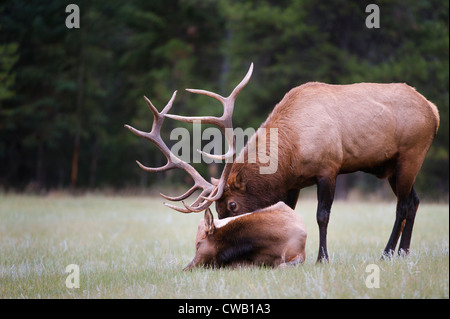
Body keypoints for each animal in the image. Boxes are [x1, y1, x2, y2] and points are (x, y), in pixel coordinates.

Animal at [125, 62, 440, 262]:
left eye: (233, 205)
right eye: (218, 207)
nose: (219, 237)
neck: (291, 149)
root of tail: (434, 110)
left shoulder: (328, 168)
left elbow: (322, 216)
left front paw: (322, 258)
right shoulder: (293, 183)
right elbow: (288, 213)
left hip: (411, 155)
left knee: (403, 205)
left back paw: (387, 253)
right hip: (393, 168)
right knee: (414, 201)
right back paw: (403, 253)